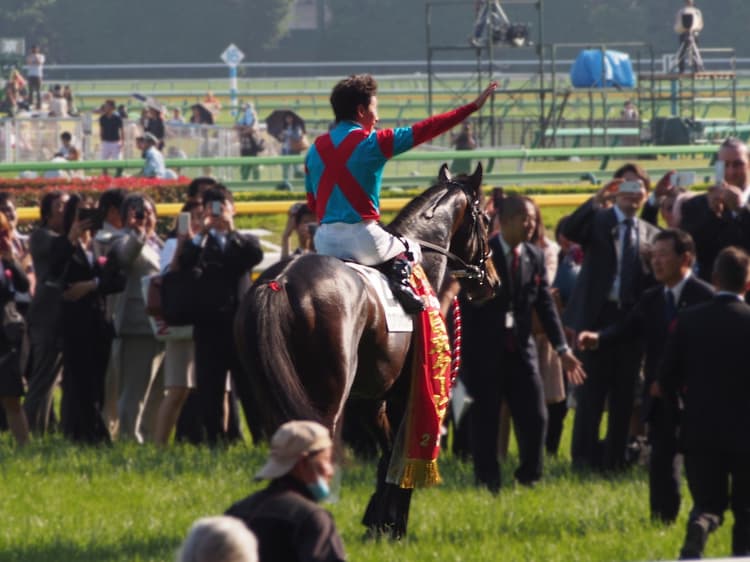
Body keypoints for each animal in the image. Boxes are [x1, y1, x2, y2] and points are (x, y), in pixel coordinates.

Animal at [235, 163, 499, 538]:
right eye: (486, 219)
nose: (492, 281)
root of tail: (280, 282)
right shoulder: (406, 393)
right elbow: (397, 456)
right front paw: (393, 523)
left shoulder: (370, 399)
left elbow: (387, 456)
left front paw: (378, 520)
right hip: (326, 398)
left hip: (271, 393)